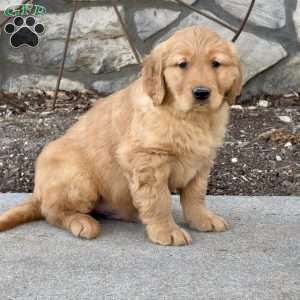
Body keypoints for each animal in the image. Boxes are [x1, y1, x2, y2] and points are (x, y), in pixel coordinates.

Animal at [0, 27, 241, 245]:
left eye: (216, 64)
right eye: (182, 64)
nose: (201, 93)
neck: (190, 118)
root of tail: (38, 192)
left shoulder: (202, 161)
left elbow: (195, 196)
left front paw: (203, 219)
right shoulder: (146, 159)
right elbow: (159, 200)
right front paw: (166, 231)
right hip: (79, 179)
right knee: (52, 211)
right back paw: (83, 222)